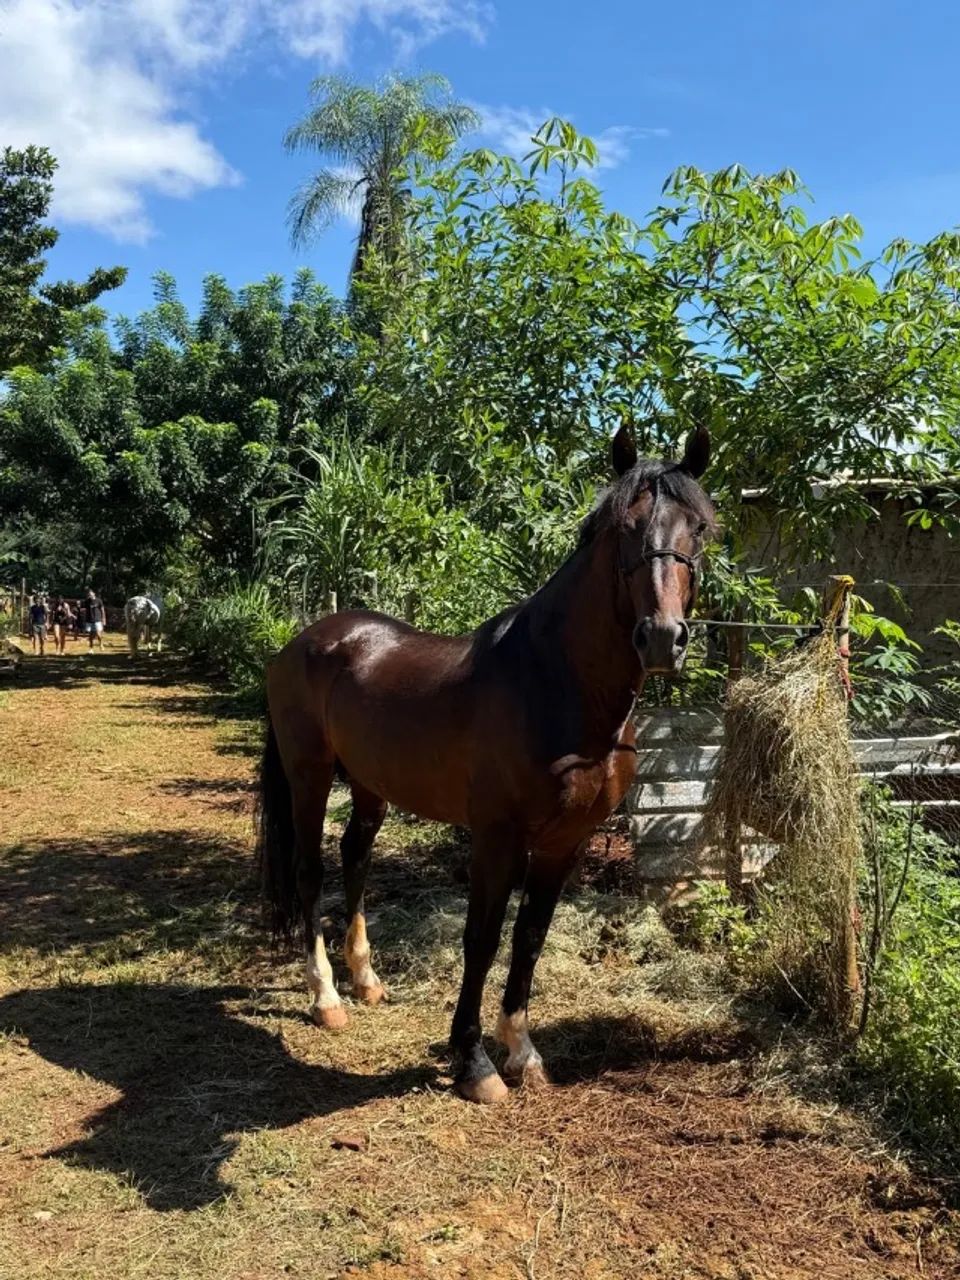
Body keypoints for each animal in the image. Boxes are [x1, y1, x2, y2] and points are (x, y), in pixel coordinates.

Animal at [256, 424, 715, 1103]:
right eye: (622, 528)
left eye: (700, 528)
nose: (661, 638)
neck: (554, 685)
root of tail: (303, 642)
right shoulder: (497, 837)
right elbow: (482, 937)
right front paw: (473, 1062)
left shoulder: (565, 842)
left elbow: (529, 938)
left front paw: (521, 1050)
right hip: (308, 776)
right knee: (310, 869)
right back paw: (326, 997)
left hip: (368, 785)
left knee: (355, 857)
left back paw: (365, 980)